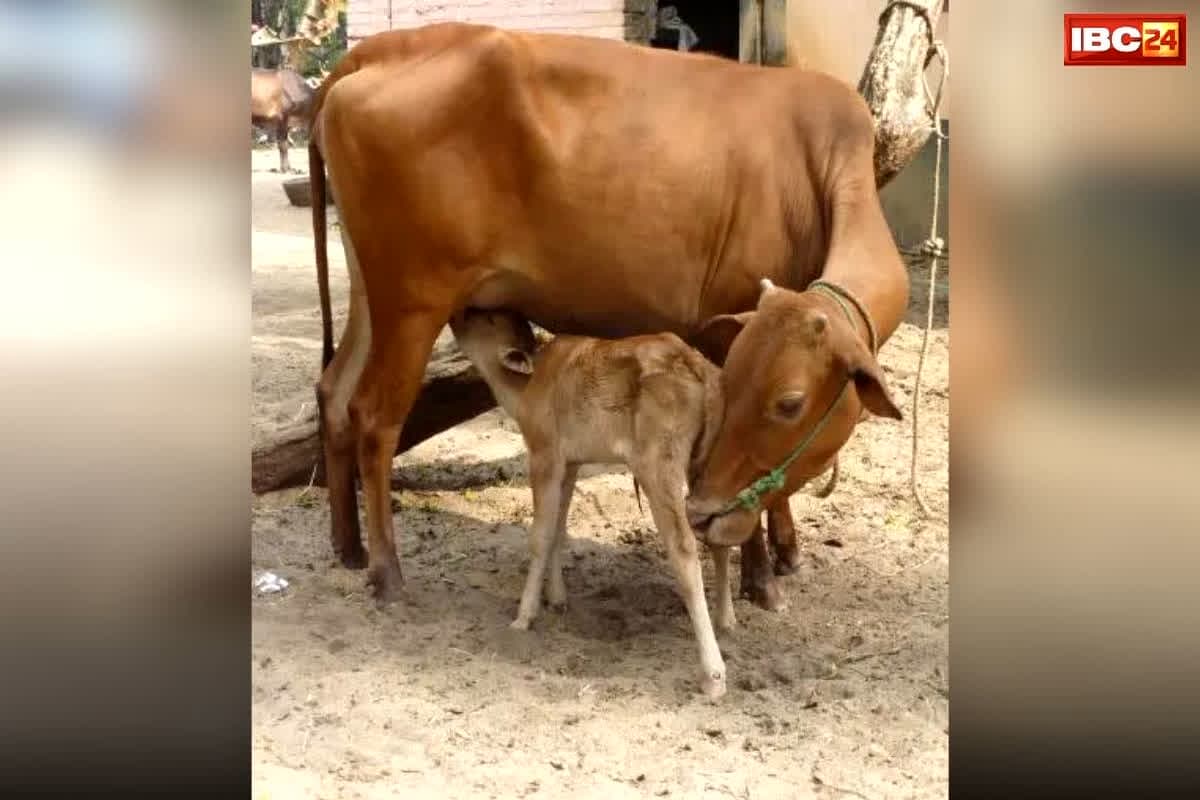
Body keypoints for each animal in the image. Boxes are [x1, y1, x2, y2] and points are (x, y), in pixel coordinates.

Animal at [308, 23, 908, 619]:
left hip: (372, 292)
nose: (706, 513)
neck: (819, 168)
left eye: (788, 404)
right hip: (413, 302)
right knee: (374, 417)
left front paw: (786, 551)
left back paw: (348, 547)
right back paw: (387, 571)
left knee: (334, 391)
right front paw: (759, 574)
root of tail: (377, 50)